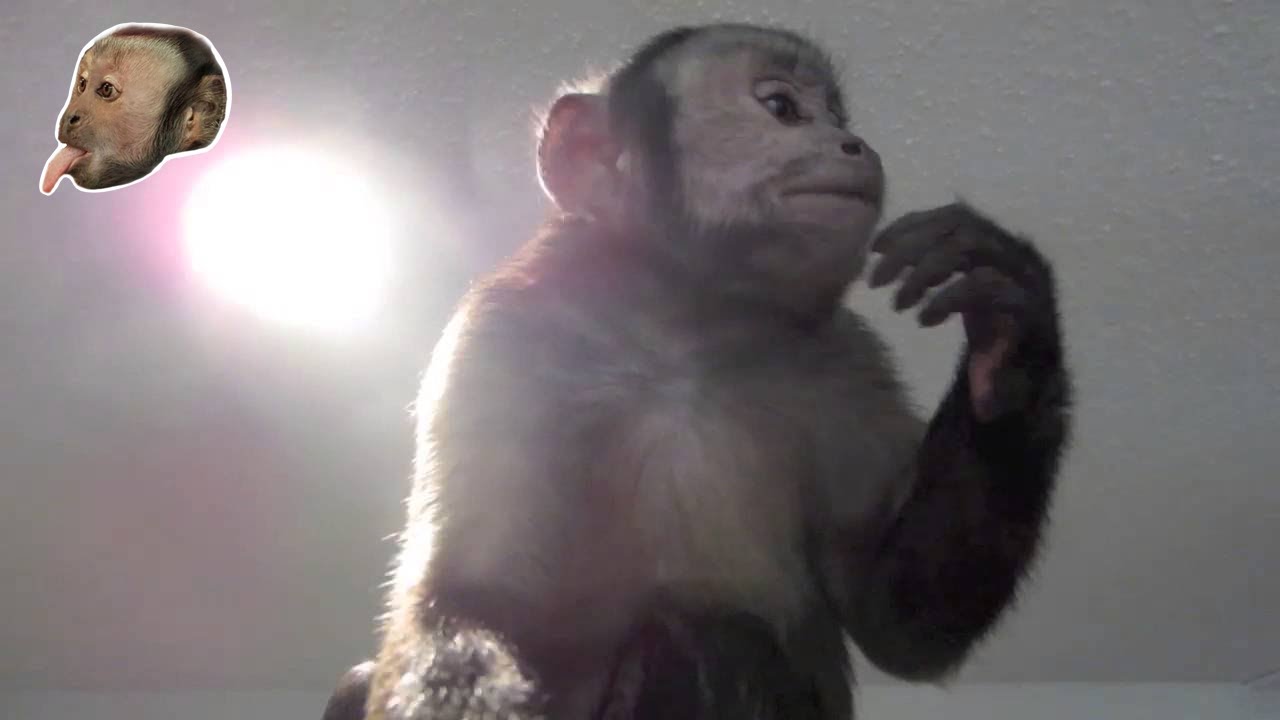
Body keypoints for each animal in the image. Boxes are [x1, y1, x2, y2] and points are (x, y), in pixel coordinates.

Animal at [345, 21, 1072, 720]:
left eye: (835, 113)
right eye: (782, 107)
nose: (853, 144)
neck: (683, 338)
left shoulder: (847, 359)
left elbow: (901, 621)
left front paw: (1011, 340)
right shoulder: (509, 334)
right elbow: (472, 600)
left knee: (715, 635)